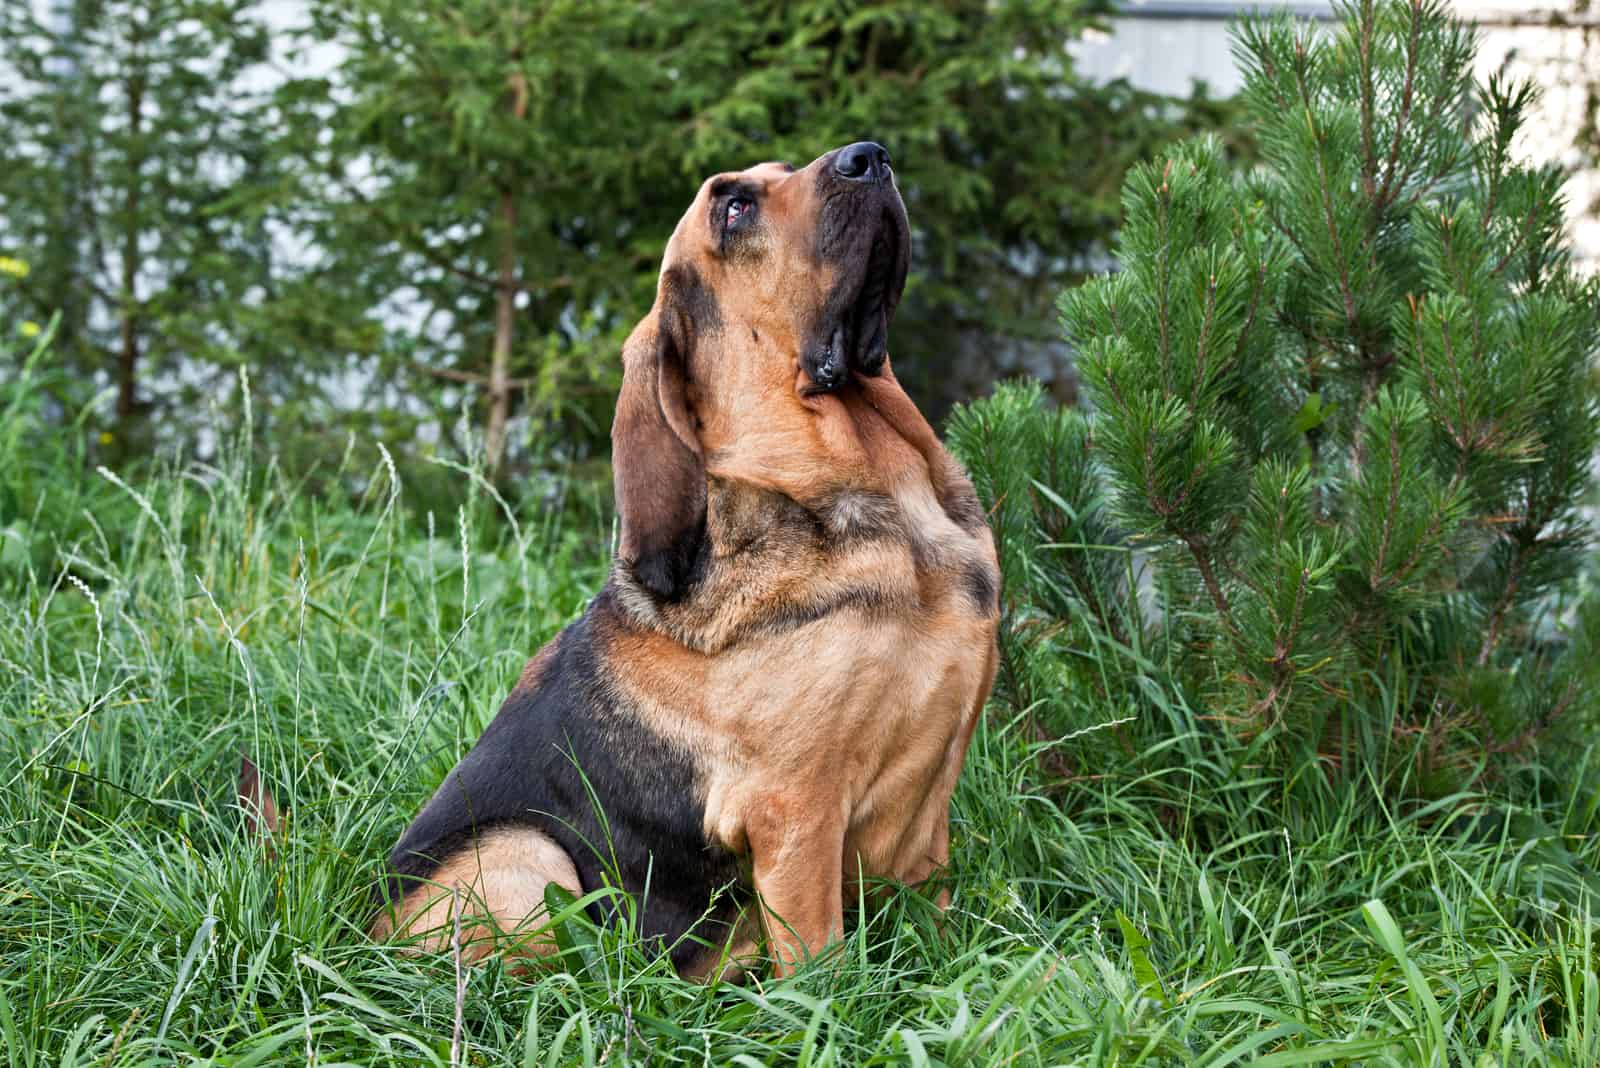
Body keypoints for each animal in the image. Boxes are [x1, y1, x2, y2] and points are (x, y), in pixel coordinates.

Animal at [374, 139, 998, 978]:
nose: (870, 156)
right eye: (733, 208)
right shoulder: (794, 812)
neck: (883, 498)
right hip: (524, 857)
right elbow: (824, 961)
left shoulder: (928, 823)